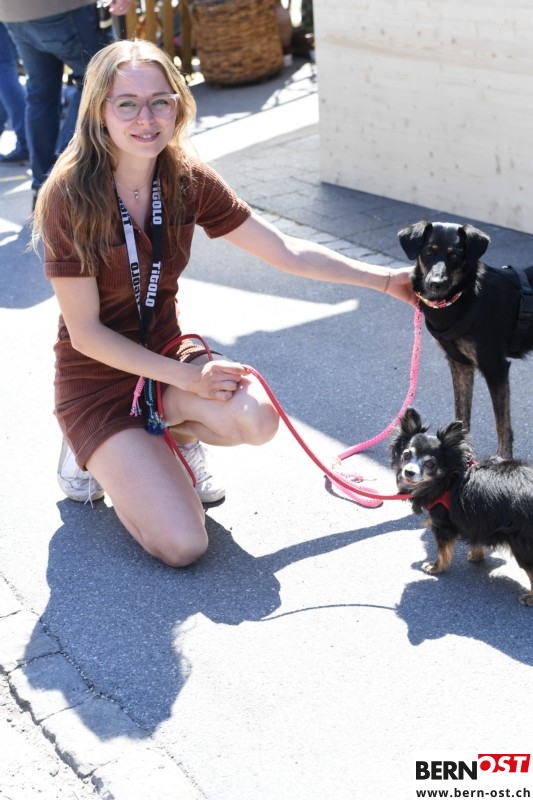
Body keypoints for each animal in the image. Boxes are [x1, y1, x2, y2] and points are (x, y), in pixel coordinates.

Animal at [390, 406, 533, 606]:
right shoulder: (478, 520)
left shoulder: (443, 523)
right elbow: (476, 540)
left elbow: (442, 550)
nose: (408, 471)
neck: (449, 478)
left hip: (522, 541)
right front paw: (476, 556)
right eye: (406, 455)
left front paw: (436, 567)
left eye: (430, 463)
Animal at [398, 220, 533, 458]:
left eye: (456, 254)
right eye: (428, 251)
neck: (461, 298)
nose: (435, 283)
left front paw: (503, 461)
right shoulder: (459, 364)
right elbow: (461, 415)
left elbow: (502, 426)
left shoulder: (495, 368)